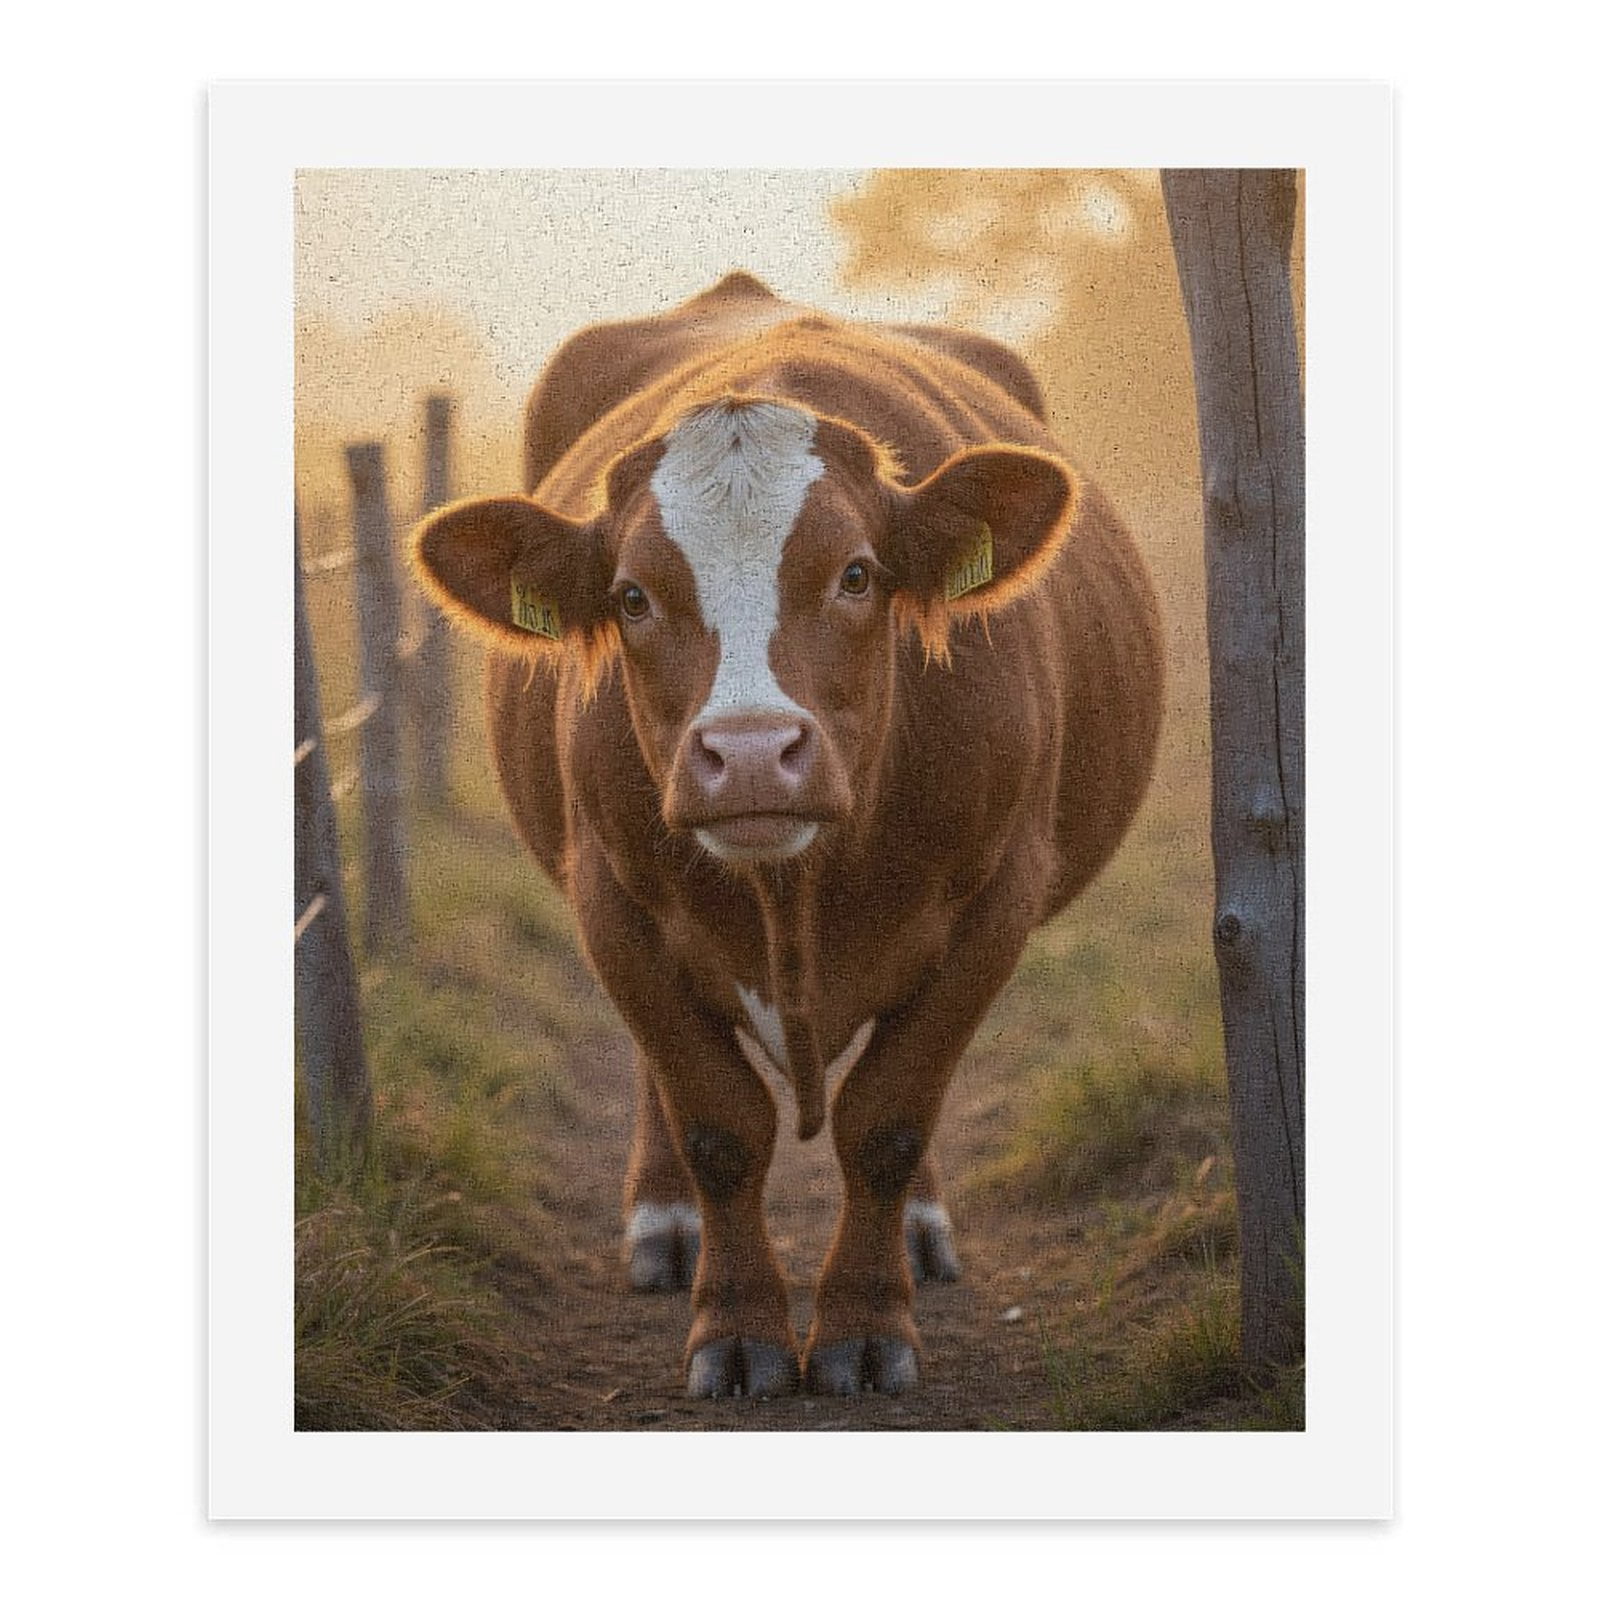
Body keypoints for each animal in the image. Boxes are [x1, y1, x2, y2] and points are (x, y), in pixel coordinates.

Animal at [412, 271, 1164, 1399]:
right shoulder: (611, 900)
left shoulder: (997, 900)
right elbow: (719, 1124)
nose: (755, 752)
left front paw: (865, 1324)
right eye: (631, 596)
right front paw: (736, 1327)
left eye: (856, 574)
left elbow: (888, 1118)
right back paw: (664, 1224)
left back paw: (921, 1231)